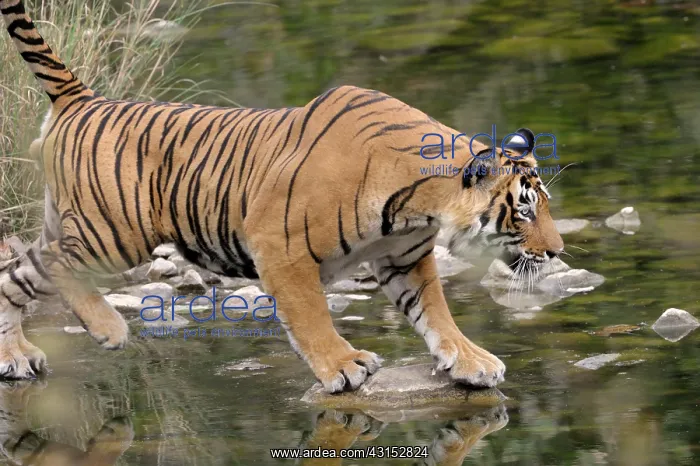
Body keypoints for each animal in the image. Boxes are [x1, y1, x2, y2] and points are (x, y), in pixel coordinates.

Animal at [0, 0, 563, 392]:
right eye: (524, 209)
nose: (557, 252)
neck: (418, 207)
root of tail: (83, 98)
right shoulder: (281, 246)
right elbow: (311, 315)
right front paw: (344, 366)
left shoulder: (404, 258)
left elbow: (435, 312)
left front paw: (470, 361)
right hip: (113, 234)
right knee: (54, 266)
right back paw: (109, 328)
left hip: (73, 227)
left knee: (16, 274)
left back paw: (16, 356)